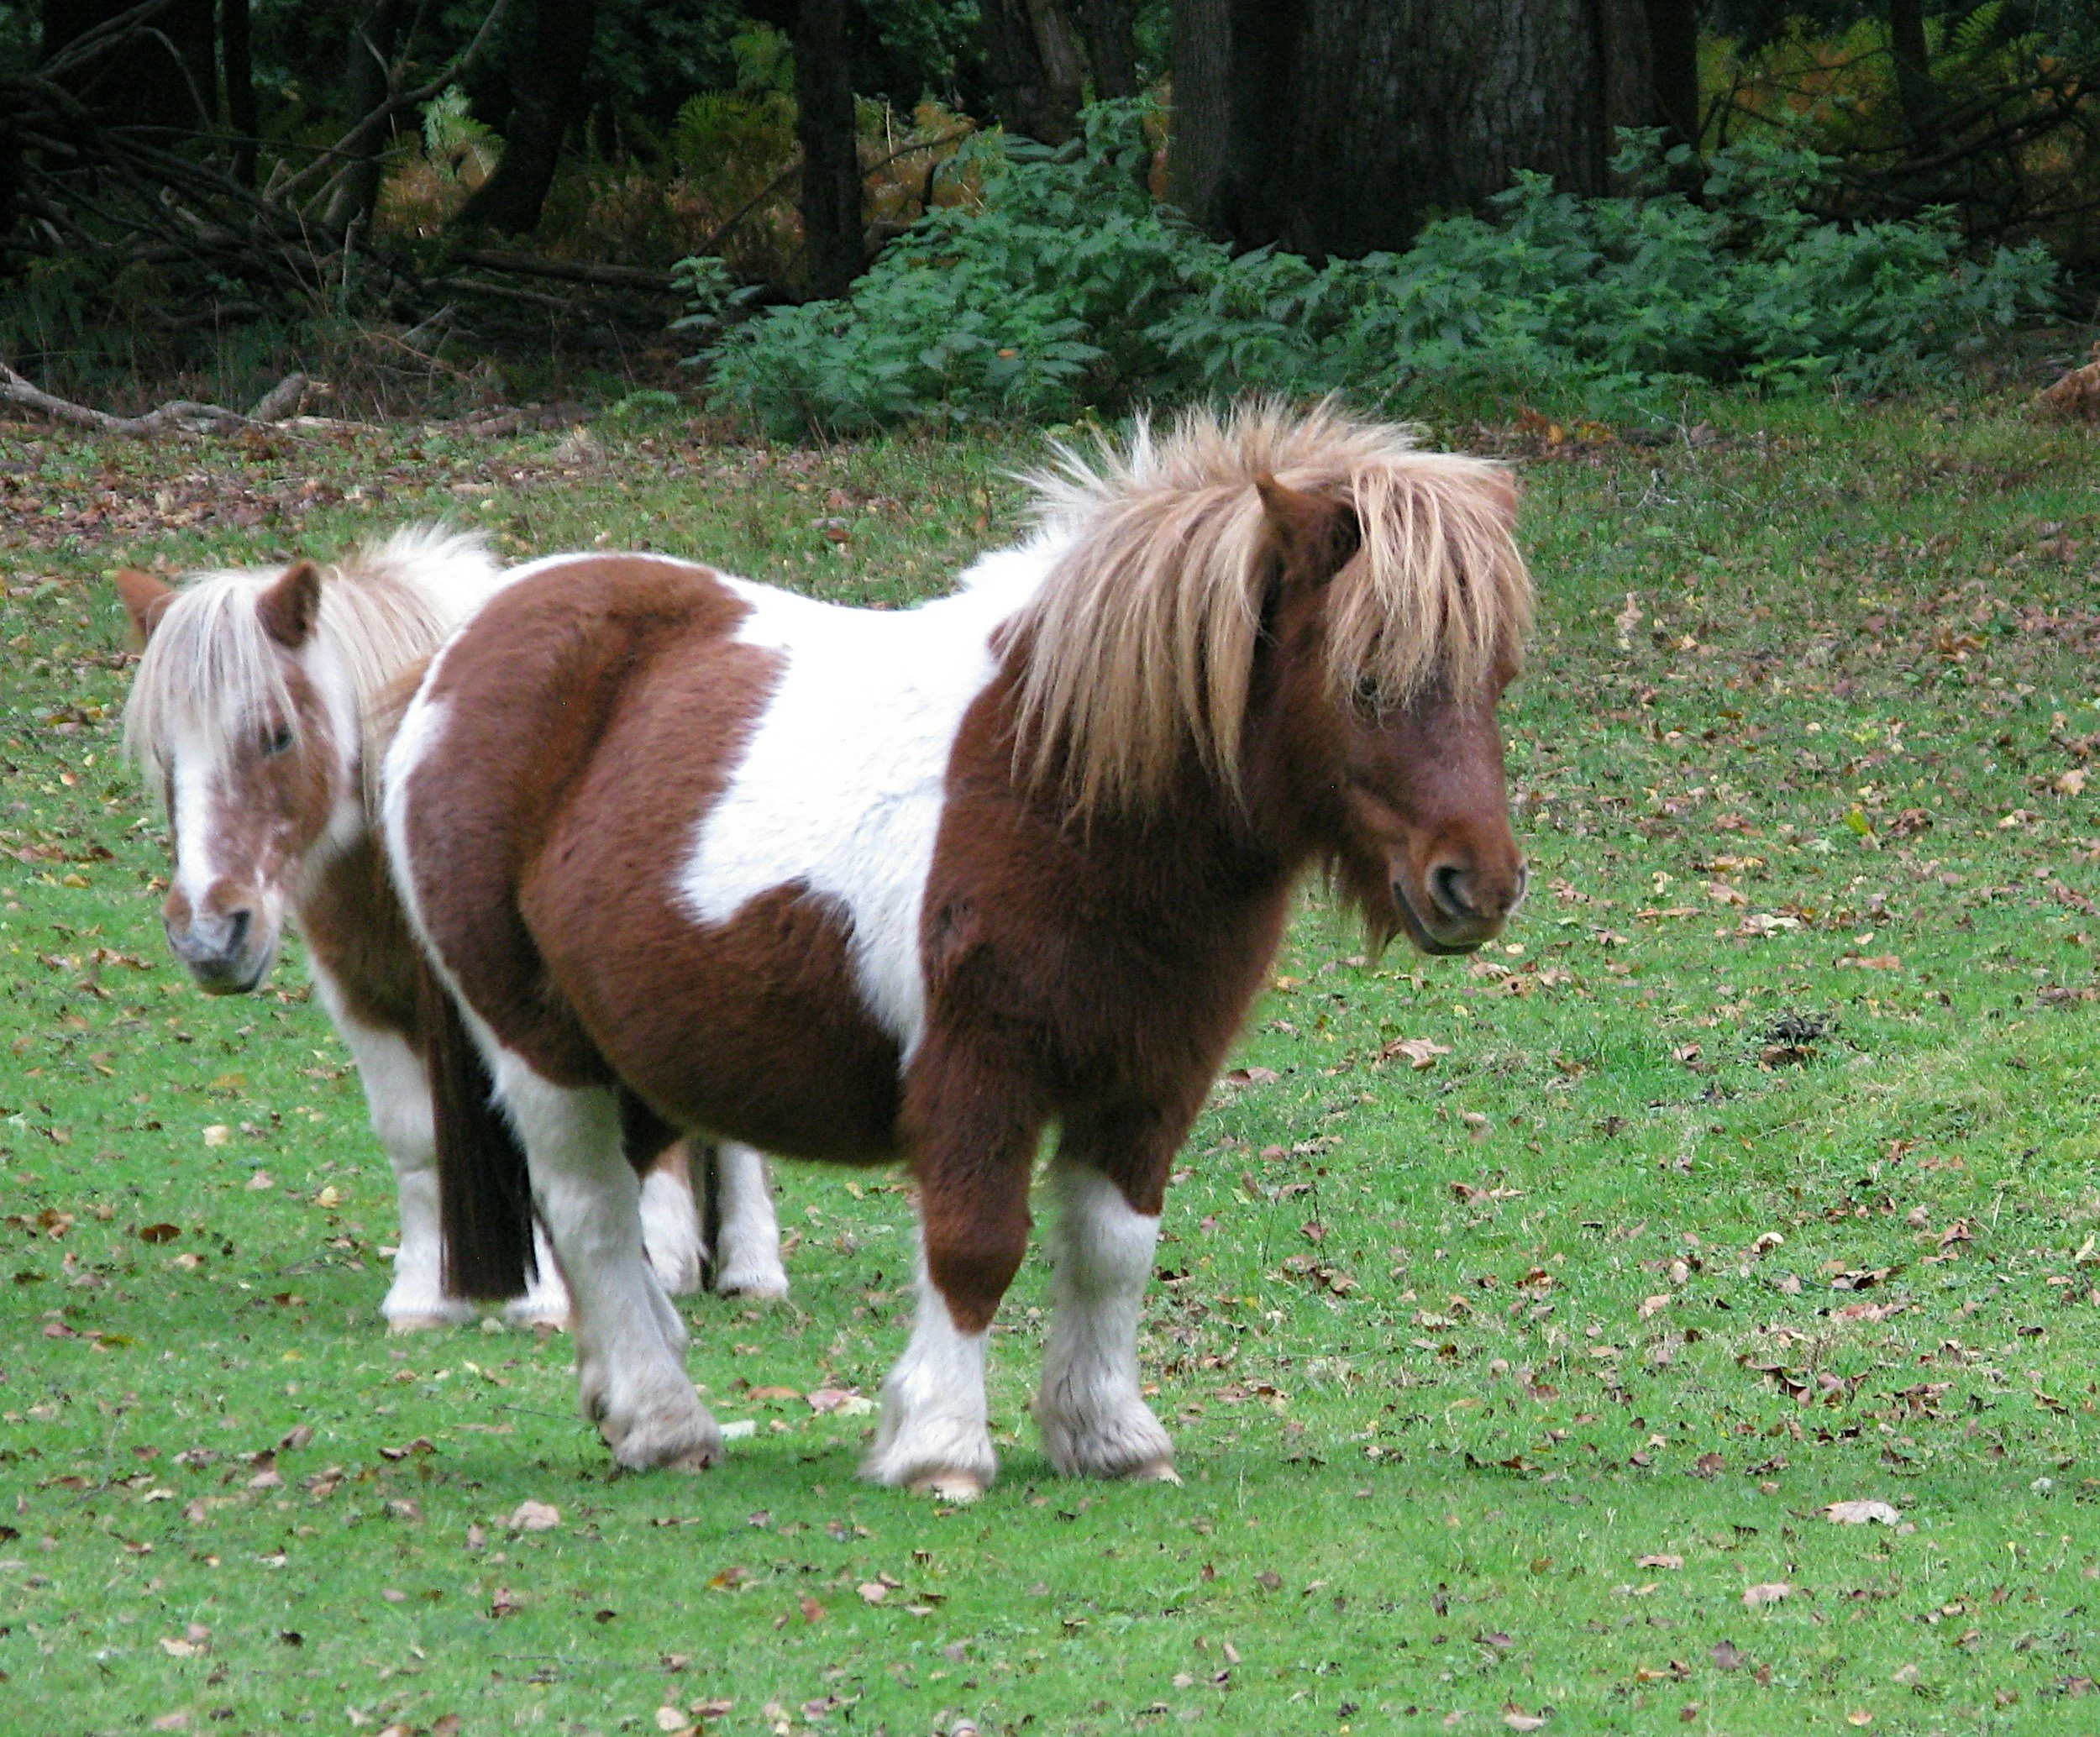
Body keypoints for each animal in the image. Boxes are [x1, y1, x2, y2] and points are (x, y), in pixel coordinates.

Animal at [115, 529, 789, 1329]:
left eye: (277, 736)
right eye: (164, 753)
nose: (209, 937)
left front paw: (545, 1297)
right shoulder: (362, 992)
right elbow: (414, 1135)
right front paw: (425, 1296)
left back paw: (746, 1267)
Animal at [385, 401, 1531, 1495]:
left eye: (1496, 681)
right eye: (1367, 682)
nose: (1475, 885)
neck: (1059, 784)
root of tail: (458, 655)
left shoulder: (1152, 1079)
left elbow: (1115, 1249)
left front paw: (1111, 1438)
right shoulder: (979, 1071)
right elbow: (977, 1247)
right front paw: (938, 1446)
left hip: (645, 1057)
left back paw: (629, 1398)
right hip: (538, 1044)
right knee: (587, 1209)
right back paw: (666, 1424)